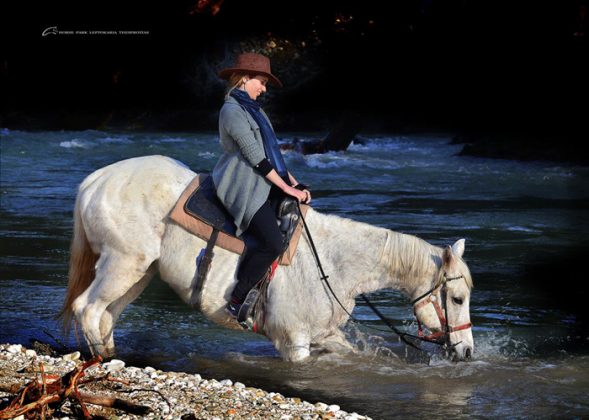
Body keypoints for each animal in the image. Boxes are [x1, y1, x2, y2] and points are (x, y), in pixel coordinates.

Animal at [60, 156, 474, 362]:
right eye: (457, 299)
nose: (467, 351)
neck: (334, 263)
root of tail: (96, 179)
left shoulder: (325, 336)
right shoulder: (295, 342)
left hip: (139, 273)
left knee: (107, 316)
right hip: (122, 264)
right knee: (88, 309)